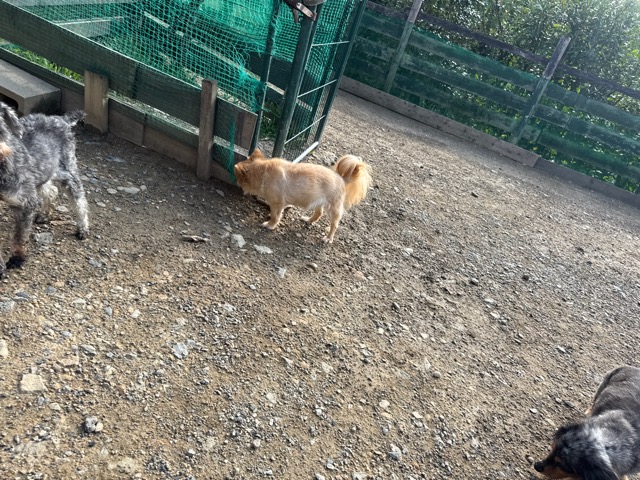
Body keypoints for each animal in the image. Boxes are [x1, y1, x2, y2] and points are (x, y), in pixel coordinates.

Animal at [0, 102, 89, 277]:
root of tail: (60, 118)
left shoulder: (25, 203)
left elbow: (20, 236)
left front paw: (18, 258)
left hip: (66, 172)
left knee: (79, 199)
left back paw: (83, 227)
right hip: (43, 172)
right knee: (51, 190)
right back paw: (44, 214)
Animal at [233, 149, 372, 243]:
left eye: (238, 178)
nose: (236, 183)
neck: (264, 172)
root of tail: (342, 178)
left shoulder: (277, 203)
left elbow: (275, 216)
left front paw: (270, 224)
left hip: (333, 209)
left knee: (334, 225)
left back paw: (328, 238)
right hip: (319, 203)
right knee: (318, 213)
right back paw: (308, 220)